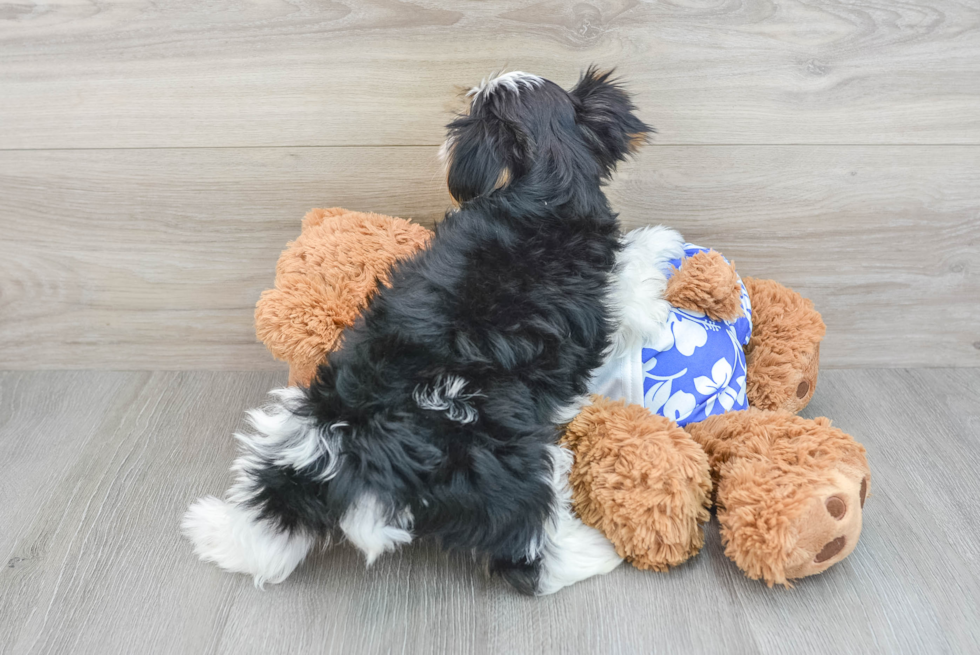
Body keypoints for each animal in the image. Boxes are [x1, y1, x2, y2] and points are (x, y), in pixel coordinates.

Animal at [184, 69, 652, 596]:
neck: (550, 179)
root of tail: (370, 448)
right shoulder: (608, 290)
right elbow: (637, 282)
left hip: (296, 431)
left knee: (272, 507)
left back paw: (215, 531)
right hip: (514, 473)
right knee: (527, 549)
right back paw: (593, 553)